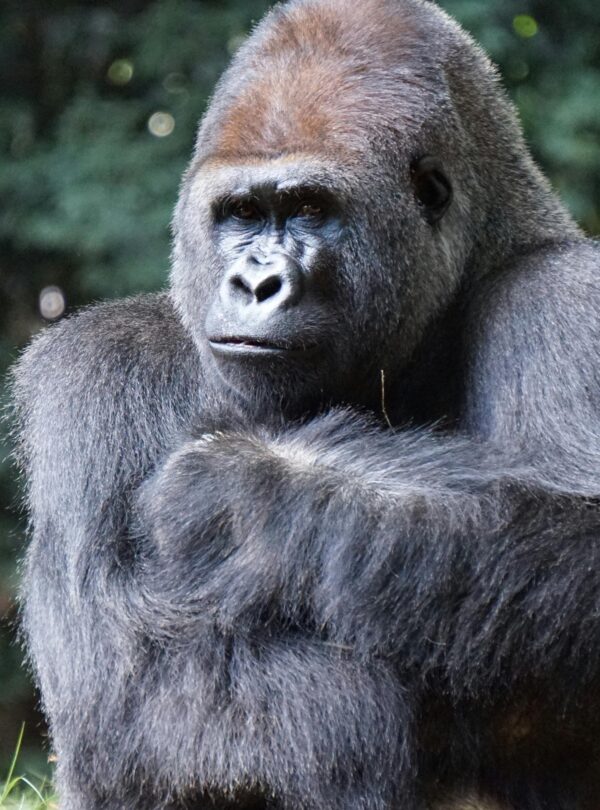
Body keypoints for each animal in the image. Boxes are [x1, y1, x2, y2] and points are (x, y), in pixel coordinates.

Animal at [10, 0, 600, 808]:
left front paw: (244, 486)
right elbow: (134, 683)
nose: (256, 283)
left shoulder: (565, 298)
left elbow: (582, 541)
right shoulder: (98, 371)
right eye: (241, 213)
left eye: (309, 208)